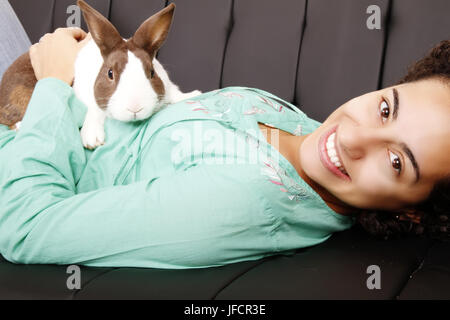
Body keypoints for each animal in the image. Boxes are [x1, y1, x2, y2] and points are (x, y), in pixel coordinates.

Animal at [0, 0, 201, 149]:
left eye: (151, 73)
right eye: (110, 73)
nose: (135, 108)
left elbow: (173, 92)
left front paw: (191, 95)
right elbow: (93, 109)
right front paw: (92, 138)